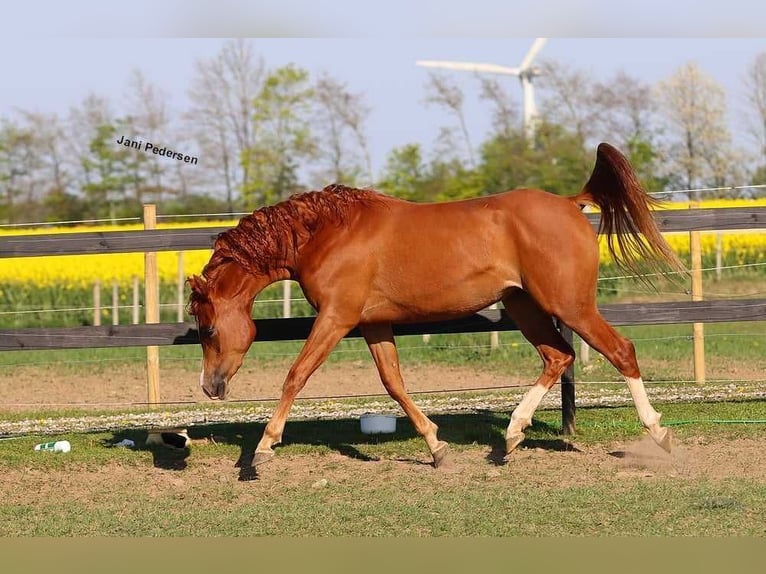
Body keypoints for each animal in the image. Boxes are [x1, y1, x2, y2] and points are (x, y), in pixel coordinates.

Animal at [190, 144, 684, 472]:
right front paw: (435, 447)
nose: (211, 387)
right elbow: (393, 383)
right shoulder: (373, 324)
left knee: (620, 351)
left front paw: (262, 448)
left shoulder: (337, 318)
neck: (328, 233)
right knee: (557, 356)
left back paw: (658, 433)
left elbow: (296, 375)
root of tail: (568, 203)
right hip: (524, 305)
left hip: (570, 305)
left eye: (208, 329)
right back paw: (511, 436)